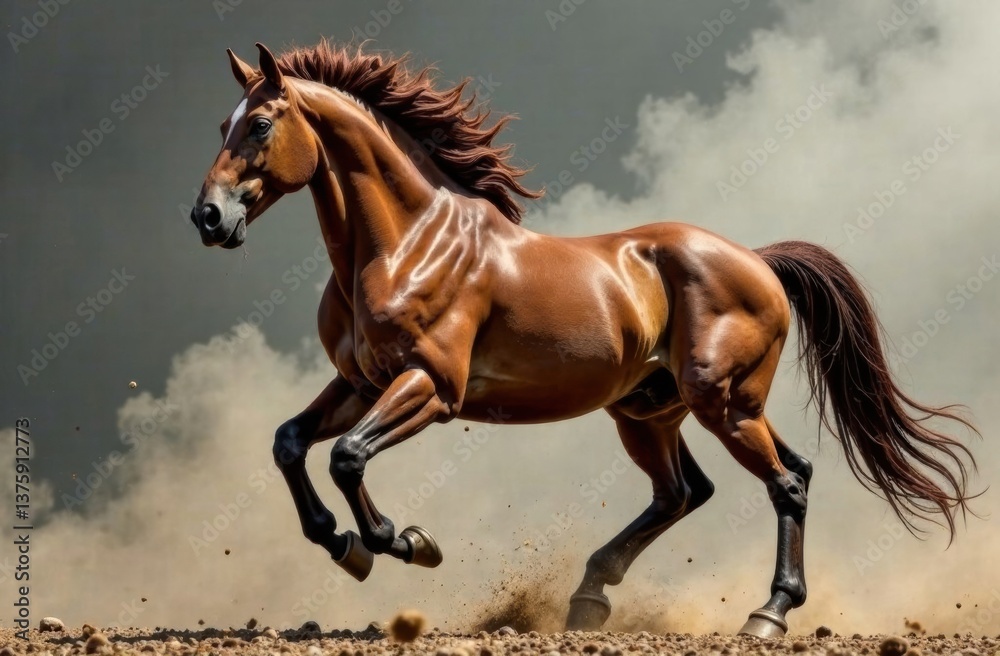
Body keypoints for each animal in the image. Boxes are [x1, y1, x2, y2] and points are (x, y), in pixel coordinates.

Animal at [189, 40, 978, 637]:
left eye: (260, 125)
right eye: (222, 123)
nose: (208, 217)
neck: (406, 244)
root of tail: (758, 261)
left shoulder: (432, 387)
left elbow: (348, 457)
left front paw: (402, 543)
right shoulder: (361, 383)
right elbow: (291, 442)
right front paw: (343, 542)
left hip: (723, 402)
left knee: (782, 482)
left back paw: (768, 615)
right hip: (650, 410)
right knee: (694, 490)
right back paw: (591, 595)